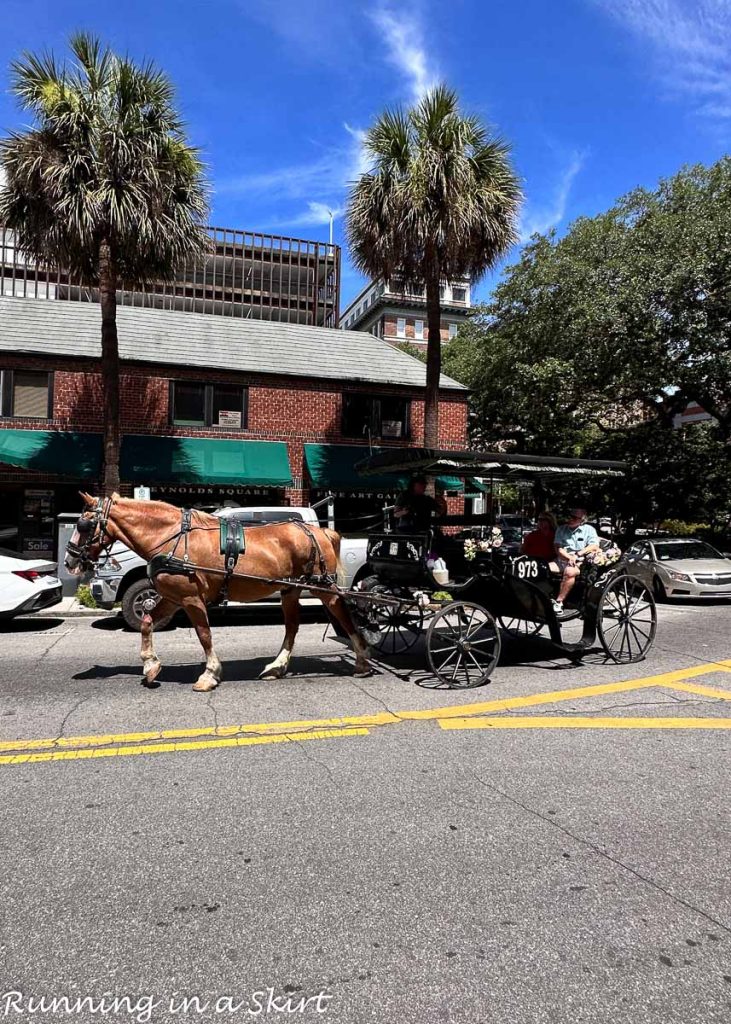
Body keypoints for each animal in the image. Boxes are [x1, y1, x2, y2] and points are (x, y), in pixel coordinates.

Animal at [63, 493, 370, 692]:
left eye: (83, 525)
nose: (69, 561)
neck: (172, 539)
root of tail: (320, 532)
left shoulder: (190, 598)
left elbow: (204, 635)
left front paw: (209, 675)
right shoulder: (173, 598)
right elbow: (148, 621)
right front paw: (150, 666)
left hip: (323, 587)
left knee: (343, 613)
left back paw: (362, 660)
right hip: (290, 590)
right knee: (292, 627)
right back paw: (277, 667)